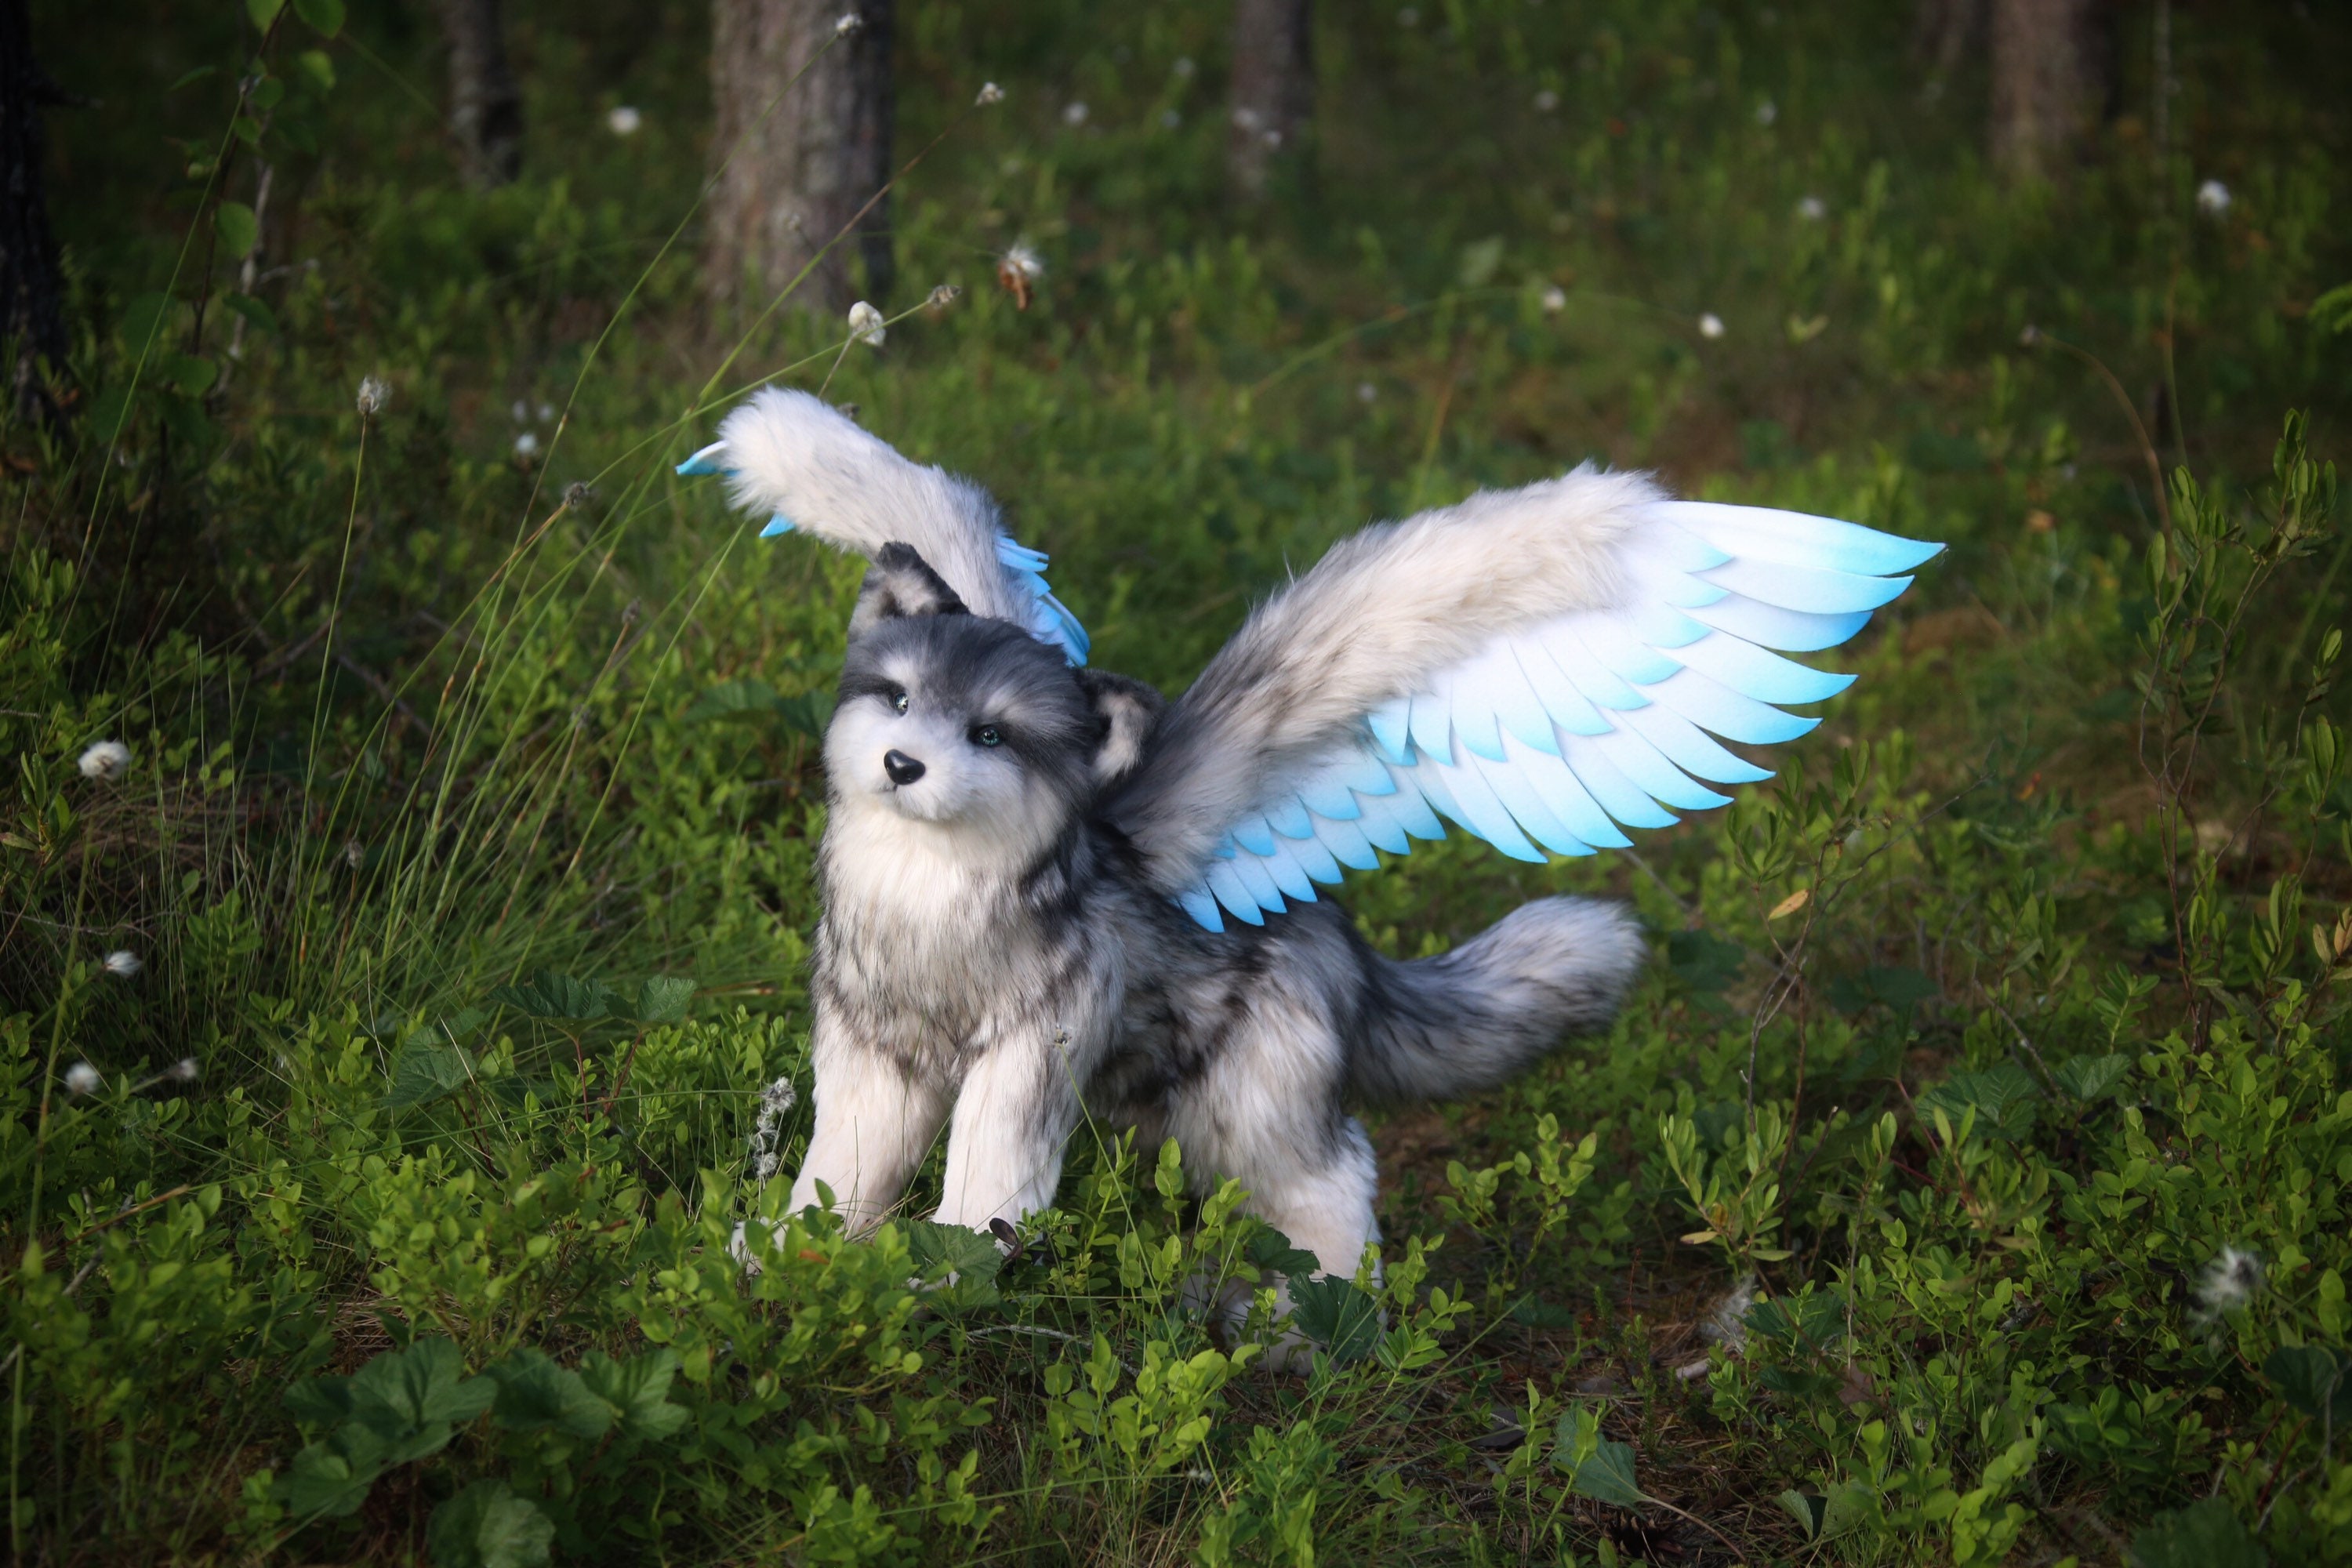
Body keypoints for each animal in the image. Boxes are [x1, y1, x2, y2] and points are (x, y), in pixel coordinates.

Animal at [687, 389, 1936, 1308]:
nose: (905, 765)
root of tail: (1339, 936)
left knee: (1337, 1185)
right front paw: (785, 1259)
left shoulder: (1028, 1053)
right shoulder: (870, 1048)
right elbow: (840, 1174)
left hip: (1259, 1109)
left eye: (991, 734)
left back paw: (1324, 1323)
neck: (928, 900)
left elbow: (985, 1186)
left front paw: (944, 1284)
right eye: (897, 698)